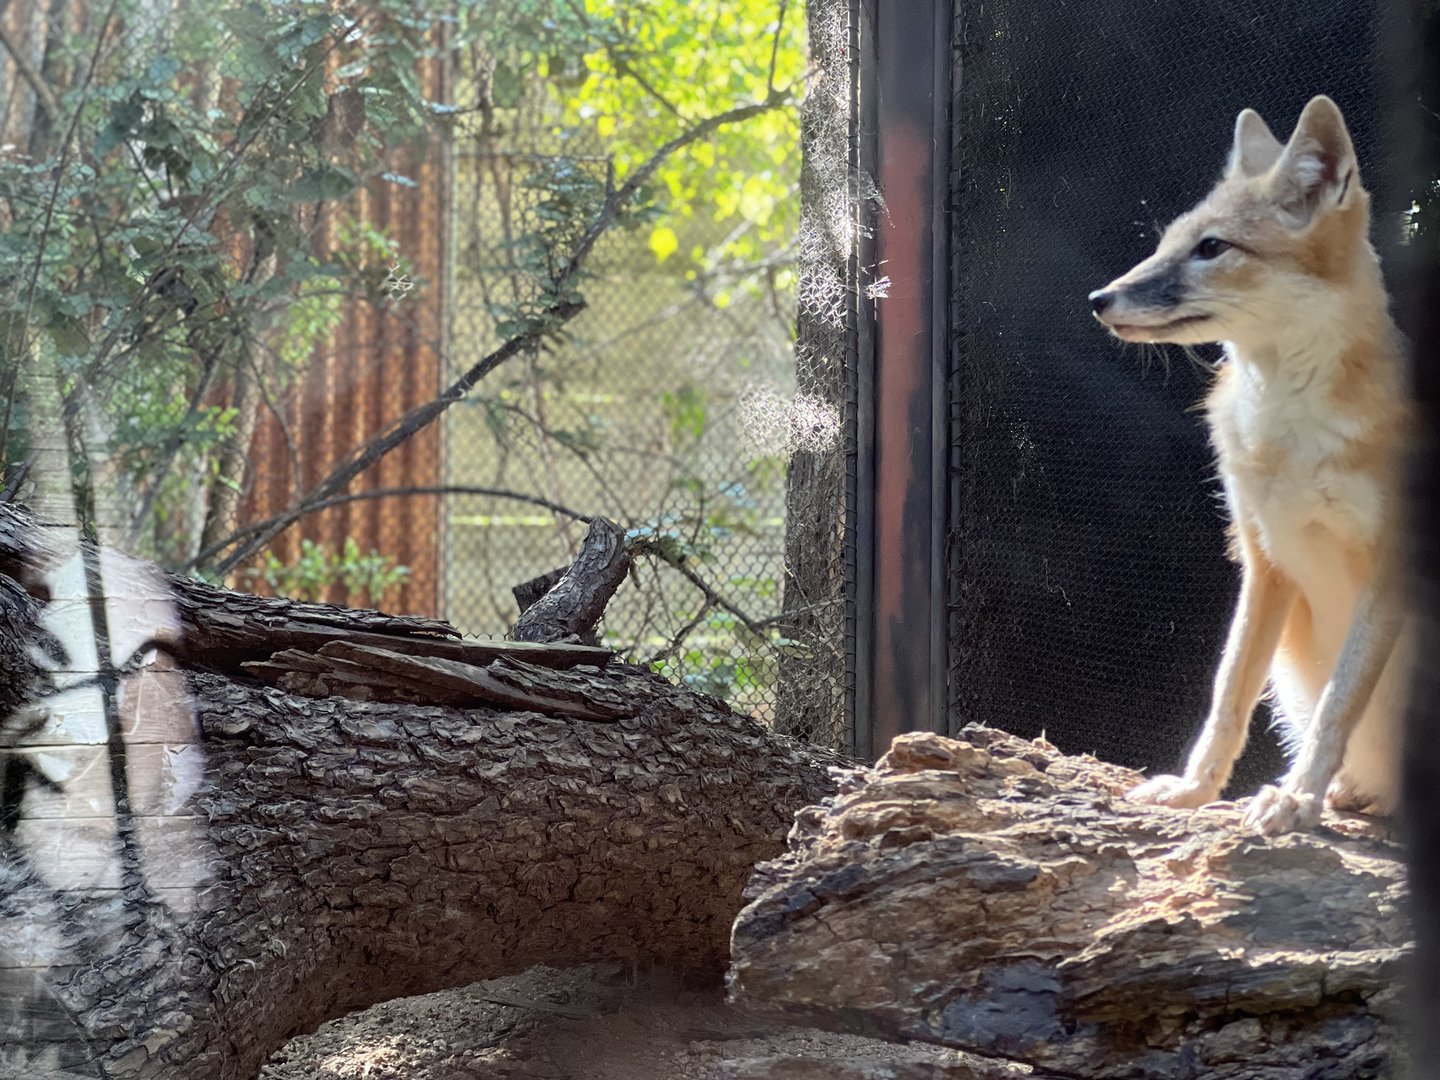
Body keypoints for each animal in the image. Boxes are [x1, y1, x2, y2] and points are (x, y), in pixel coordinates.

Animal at [1088, 95, 1412, 835]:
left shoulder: (1390, 565)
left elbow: (1339, 704)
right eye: (1167, 242)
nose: (1099, 299)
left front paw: (1297, 798)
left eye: (1212, 248)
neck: (1286, 432)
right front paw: (1193, 788)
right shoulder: (1264, 558)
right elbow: (1228, 691)